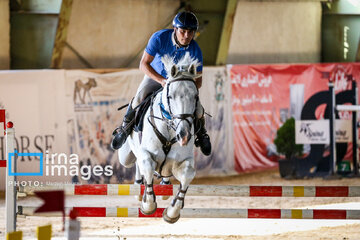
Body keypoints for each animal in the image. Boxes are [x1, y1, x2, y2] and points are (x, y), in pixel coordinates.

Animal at [119, 52, 201, 223]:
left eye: (195, 96)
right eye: (171, 96)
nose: (184, 136)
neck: (170, 128)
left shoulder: (183, 161)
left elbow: (187, 175)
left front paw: (172, 212)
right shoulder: (147, 154)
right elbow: (148, 167)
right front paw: (148, 205)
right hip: (125, 156)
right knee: (135, 162)